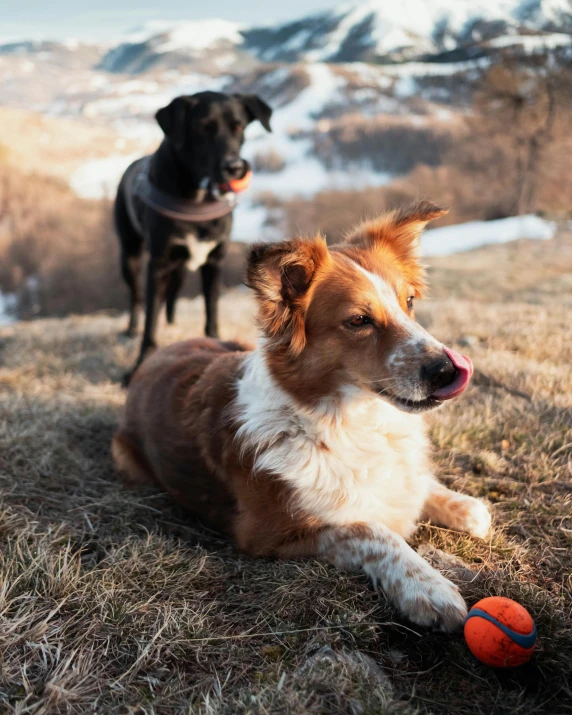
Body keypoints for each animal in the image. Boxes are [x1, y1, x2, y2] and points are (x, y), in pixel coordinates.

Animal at [113, 201, 492, 632]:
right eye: (358, 320)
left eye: (408, 302)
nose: (447, 370)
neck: (344, 420)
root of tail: (154, 356)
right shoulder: (270, 533)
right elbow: (371, 530)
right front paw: (427, 586)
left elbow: (421, 489)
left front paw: (464, 506)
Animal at [114, 91, 272, 384]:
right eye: (203, 128)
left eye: (238, 126)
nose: (235, 167)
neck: (199, 197)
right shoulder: (158, 264)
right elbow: (150, 324)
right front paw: (139, 365)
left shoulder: (214, 262)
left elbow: (211, 313)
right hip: (129, 255)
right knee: (137, 297)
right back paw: (131, 328)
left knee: (171, 295)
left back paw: (172, 322)